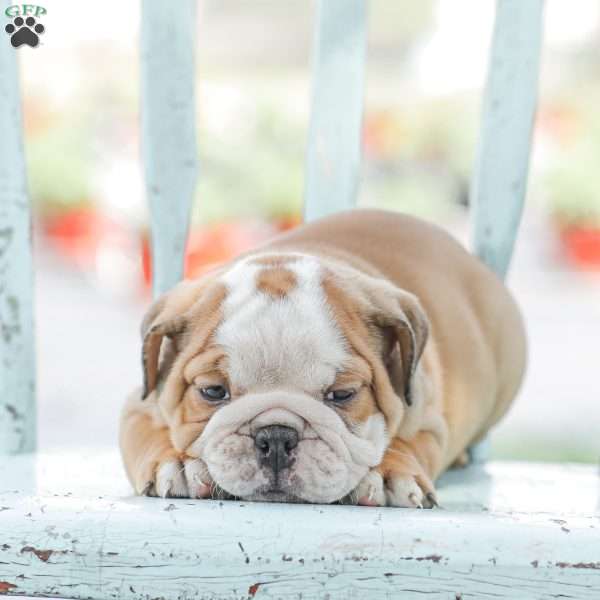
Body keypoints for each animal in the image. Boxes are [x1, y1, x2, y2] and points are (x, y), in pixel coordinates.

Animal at [120, 210, 524, 506]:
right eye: (213, 392)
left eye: (342, 395)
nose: (276, 438)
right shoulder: (141, 406)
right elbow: (148, 433)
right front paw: (176, 462)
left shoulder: (426, 419)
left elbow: (410, 442)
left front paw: (387, 473)